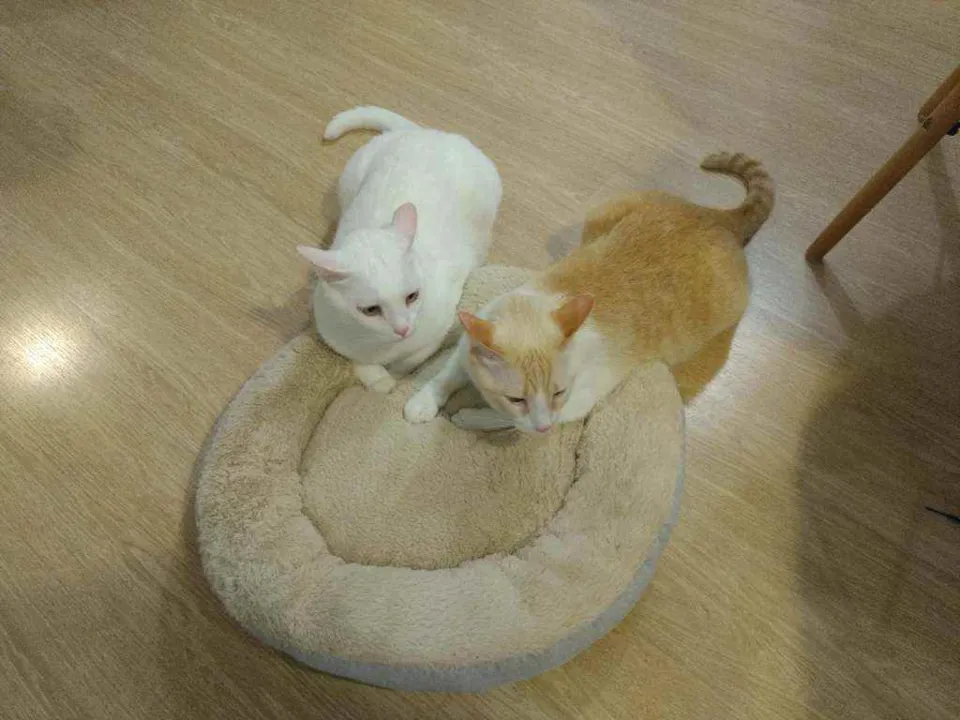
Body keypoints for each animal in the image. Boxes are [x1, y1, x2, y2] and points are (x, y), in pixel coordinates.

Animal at [299, 106, 502, 392]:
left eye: (412, 296)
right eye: (370, 310)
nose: (403, 329)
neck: (385, 347)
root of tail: (421, 133)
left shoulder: (437, 328)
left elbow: (411, 359)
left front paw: (395, 378)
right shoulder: (335, 336)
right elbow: (362, 363)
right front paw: (379, 381)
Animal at [404, 152, 773, 432]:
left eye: (559, 393)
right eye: (517, 398)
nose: (544, 428)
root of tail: (719, 219)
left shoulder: (574, 405)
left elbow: (506, 422)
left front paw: (470, 417)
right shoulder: (470, 342)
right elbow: (445, 375)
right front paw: (423, 403)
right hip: (603, 215)